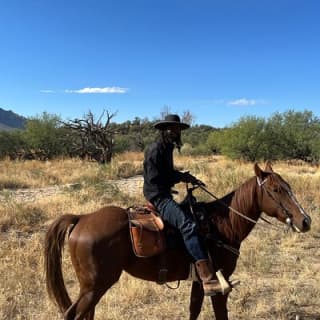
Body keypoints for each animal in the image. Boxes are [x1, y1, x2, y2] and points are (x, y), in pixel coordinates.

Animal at [44, 164, 310, 318]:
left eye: (288, 186)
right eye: (275, 189)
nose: (305, 220)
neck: (223, 224)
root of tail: (82, 218)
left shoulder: (201, 282)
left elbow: (194, 309)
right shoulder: (220, 283)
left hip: (92, 289)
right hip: (94, 286)